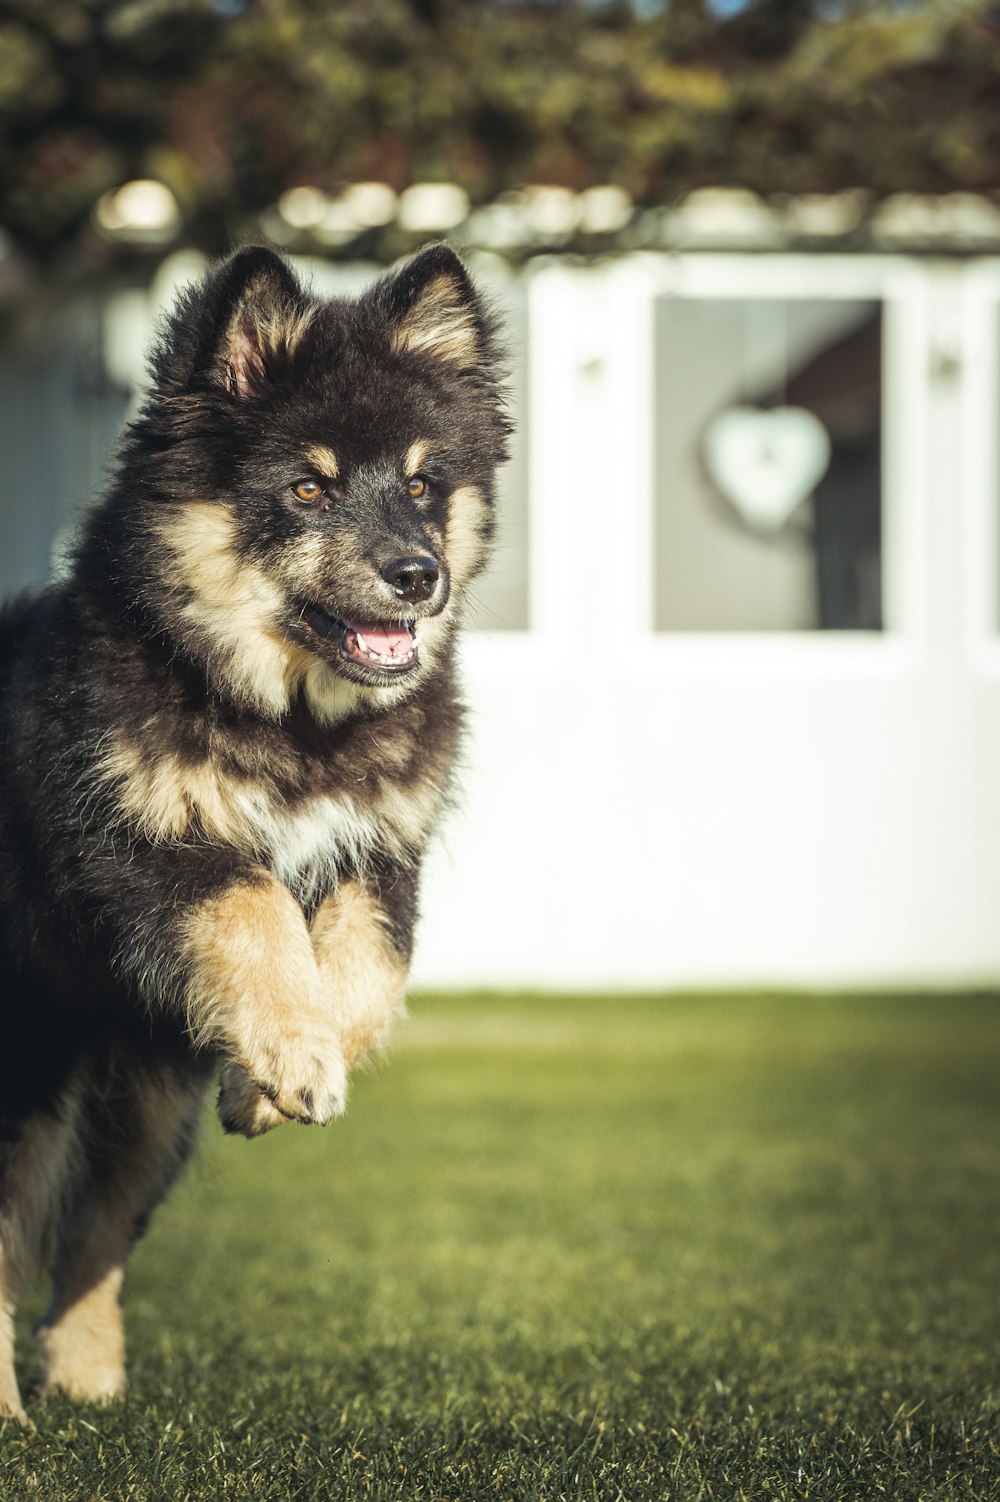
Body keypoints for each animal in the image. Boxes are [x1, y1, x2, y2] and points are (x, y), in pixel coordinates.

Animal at [0, 246, 507, 1417]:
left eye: (423, 483)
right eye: (308, 486)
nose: (418, 576)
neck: (290, 725)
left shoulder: (380, 853)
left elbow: (366, 974)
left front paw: (271, 1080)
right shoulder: (140, 847)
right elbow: (257, 906)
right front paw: (292, 1056)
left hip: (143, 1107)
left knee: (94, 1231)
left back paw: (87, 1381)